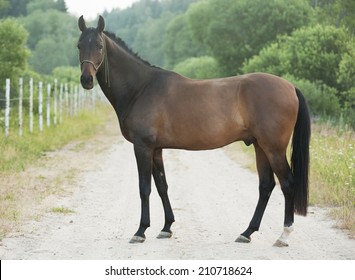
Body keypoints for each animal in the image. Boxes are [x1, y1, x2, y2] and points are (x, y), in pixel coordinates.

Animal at [78, 16, 312, 246]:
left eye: (99, 46)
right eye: (79, 45)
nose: (86, 80)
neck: (141, 88)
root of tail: (290, 87)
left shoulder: (142, 147)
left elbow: (145, 188)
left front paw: (141, 231)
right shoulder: (156, 149)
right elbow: (162, 185)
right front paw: (166, 228)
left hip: (273, 148)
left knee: (287, 184)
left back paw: (283, 235)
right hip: (259, 146)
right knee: (266, 186)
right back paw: (247, 232)